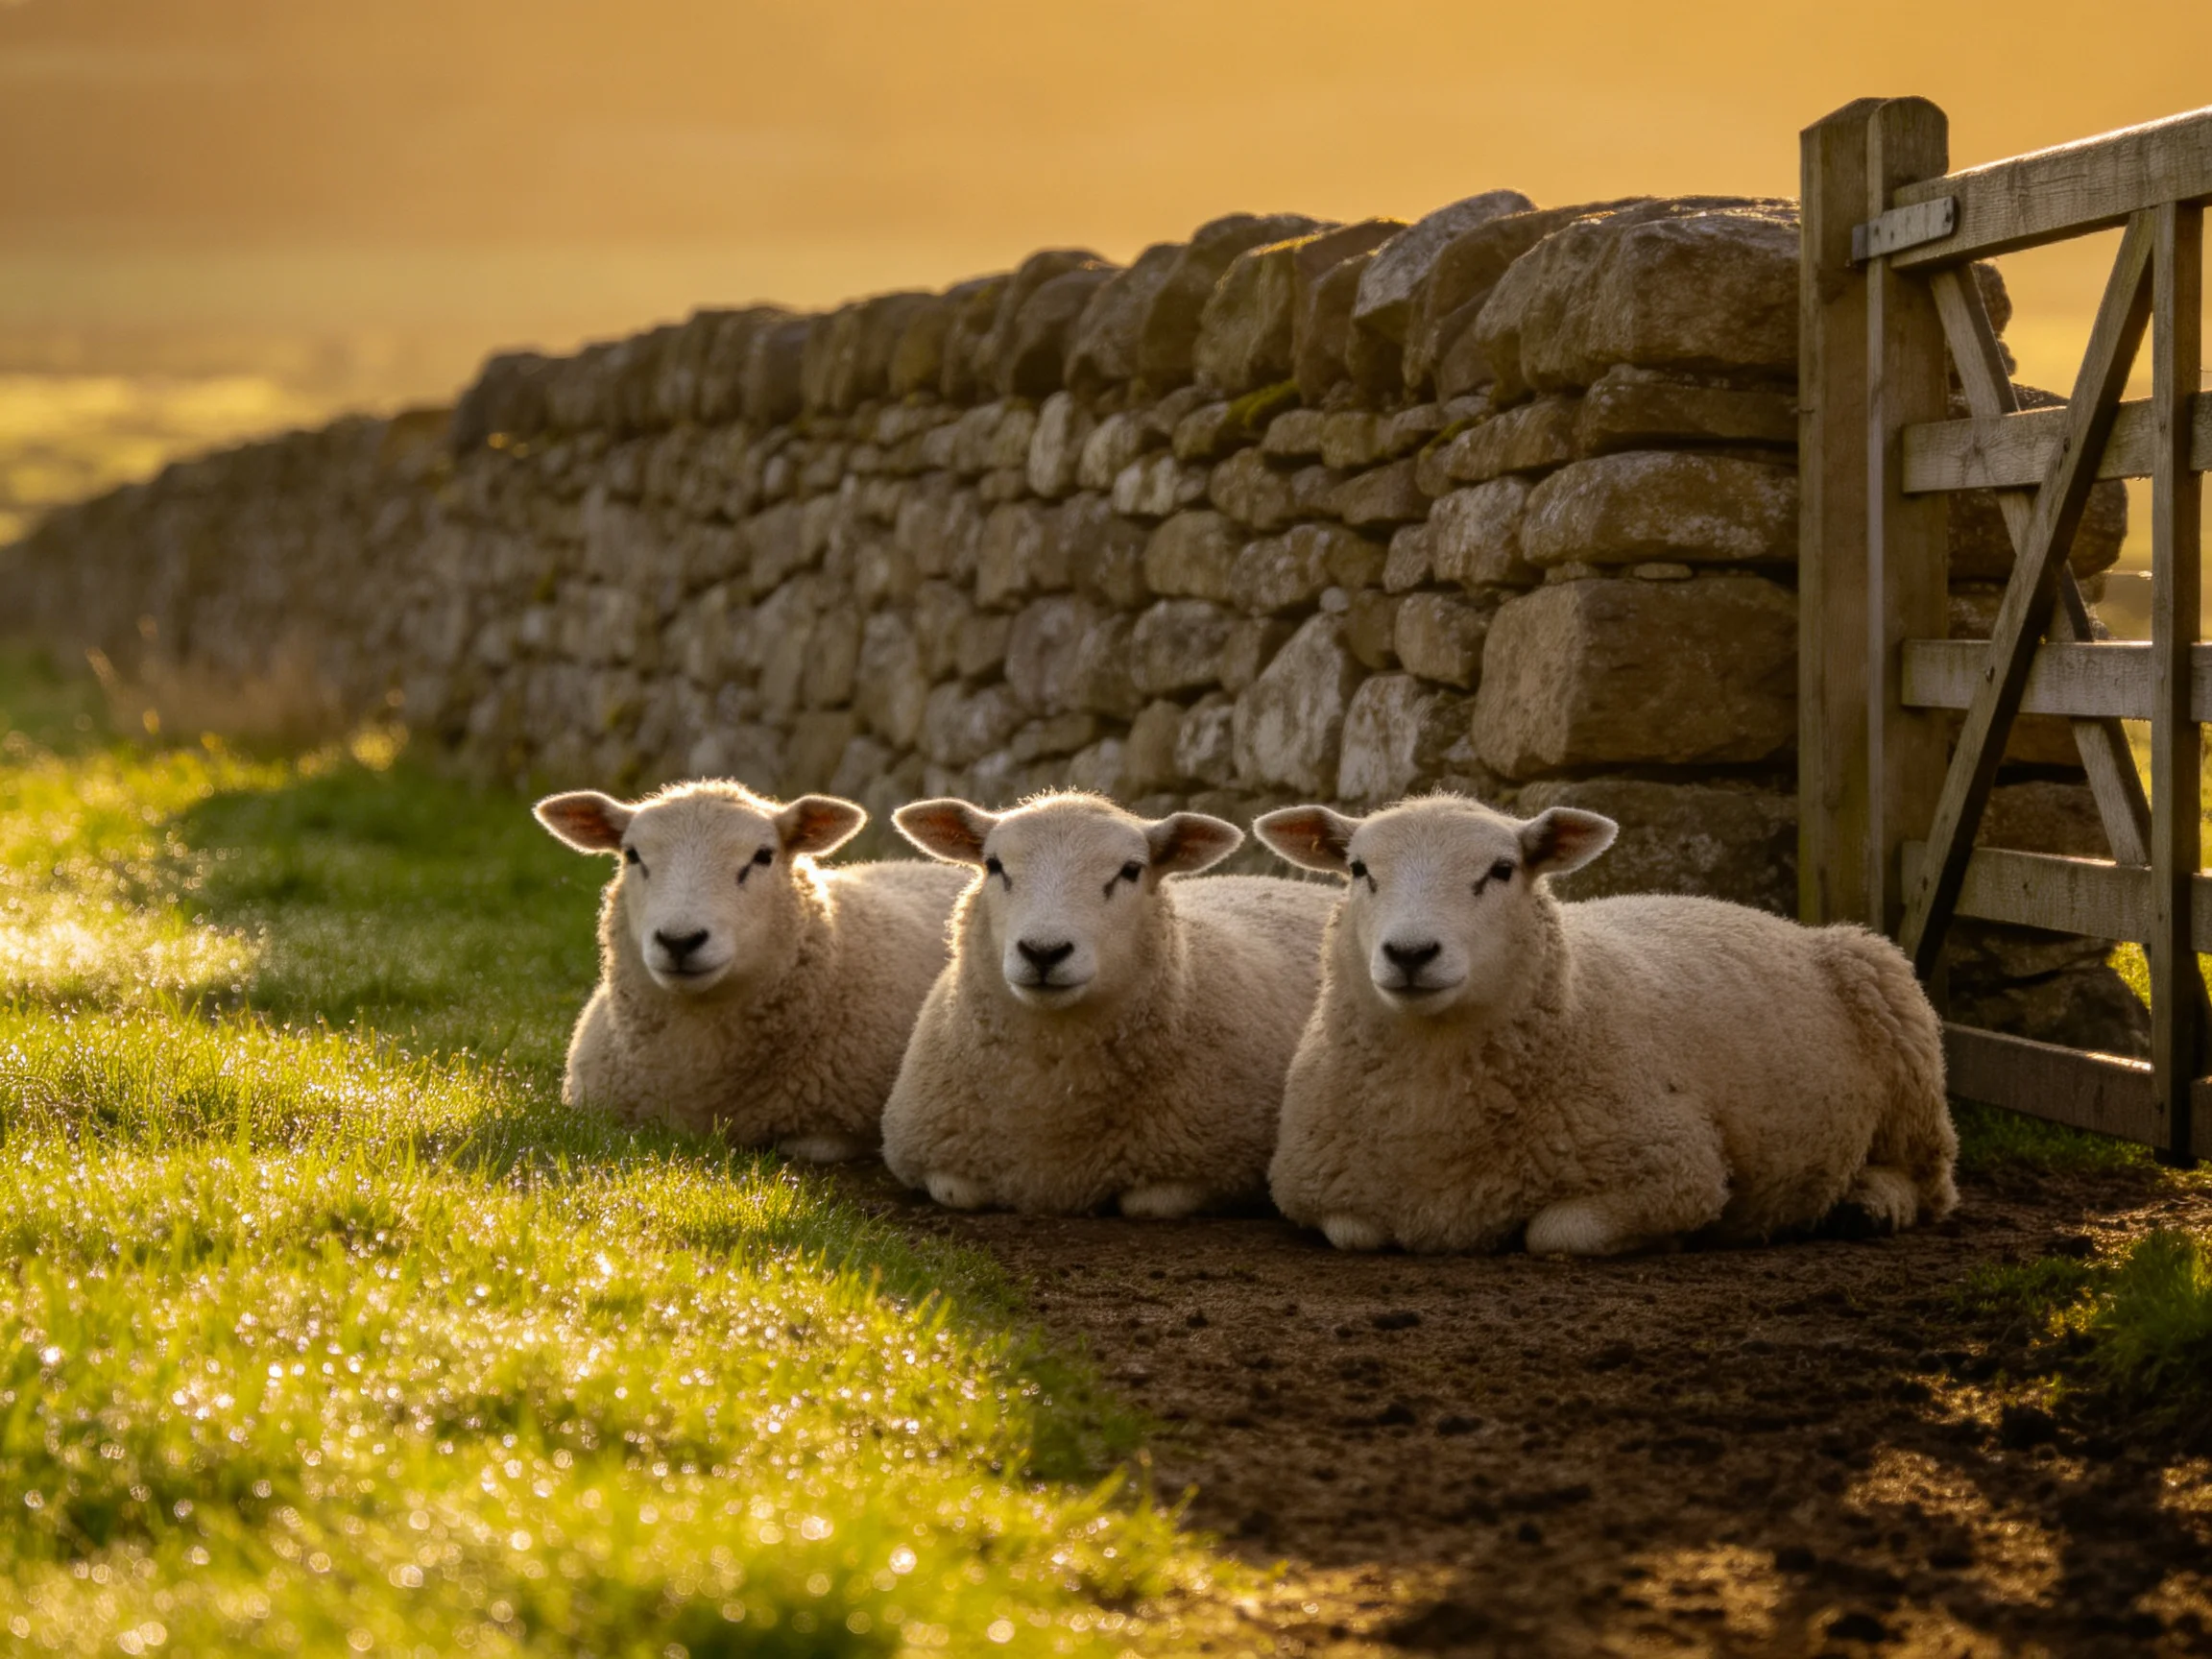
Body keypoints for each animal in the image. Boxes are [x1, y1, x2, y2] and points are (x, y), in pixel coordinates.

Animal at [880, 791, 1335, 1217]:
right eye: (994, 865)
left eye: (1130, 870)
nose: (1043, 952)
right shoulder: (938, 1161)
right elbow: (958, 1192)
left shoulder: (1199, 1172)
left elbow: (1149, 1203)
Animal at [1253, 793, 1956, 1255]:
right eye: (1358, 870)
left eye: (1502, 870)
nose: (1410, 953)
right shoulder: (1322, 1197)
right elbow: (1358, 1234)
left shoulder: (1675, 1172)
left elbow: (1554, 1233)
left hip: (1905, 1038)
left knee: (1929, 1180)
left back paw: (1874, 1203)